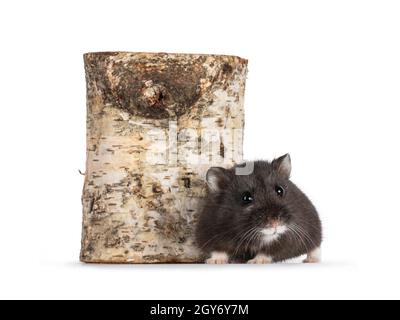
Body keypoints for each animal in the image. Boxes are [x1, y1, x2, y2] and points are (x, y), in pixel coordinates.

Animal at [195, 154, 324, 264]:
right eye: (246, 198)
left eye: (280, 190)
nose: (275, 223)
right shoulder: (209, 232)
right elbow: (218, 250)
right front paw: (215, 261)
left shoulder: (285, 241)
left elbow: (266, 252)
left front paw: (256, 261)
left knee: (315, 247)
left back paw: (311, 260)